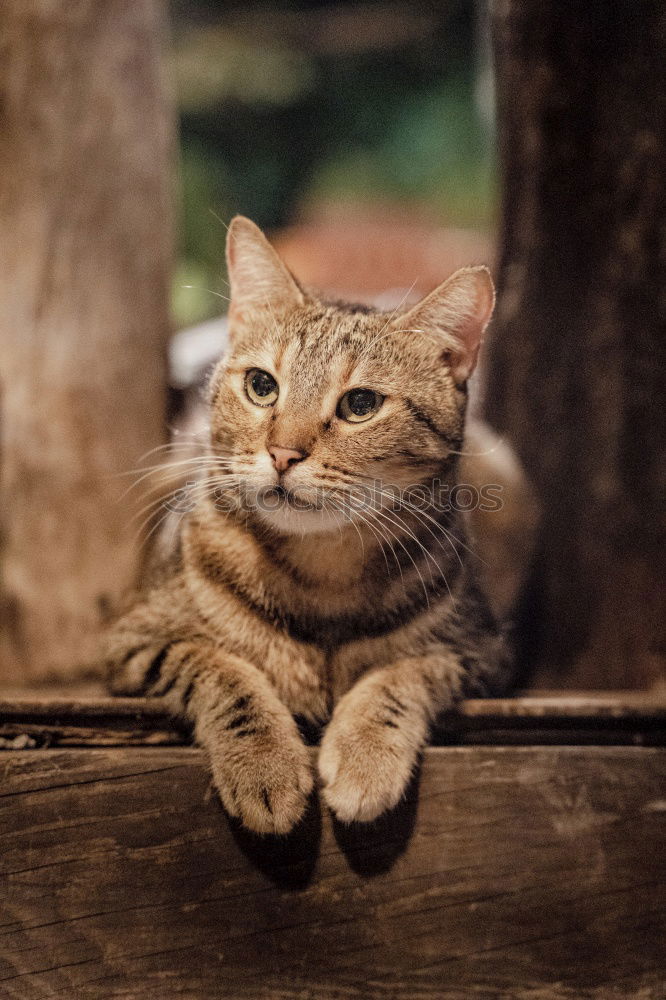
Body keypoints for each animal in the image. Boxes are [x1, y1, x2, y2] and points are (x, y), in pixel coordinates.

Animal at [102, 217, 508, 836]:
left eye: (361, 404)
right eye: (261, 385)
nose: (282, 453)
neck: (322, 572)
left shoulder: (479, 654)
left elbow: (402, 674)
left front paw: (366, 758)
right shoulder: (134, 643)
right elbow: (221, 669)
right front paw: (263, 763)